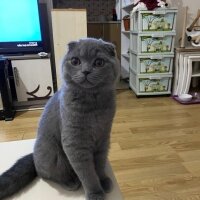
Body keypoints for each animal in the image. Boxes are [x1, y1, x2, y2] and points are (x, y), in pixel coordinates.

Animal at [0, 38, 119, 200]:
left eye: (99, 62)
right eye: (75, 61)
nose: (86, 71)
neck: (93, 104)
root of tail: (33, 155)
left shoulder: (103, 138)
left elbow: (99, 165)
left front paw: (104, 181)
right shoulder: (75, 143)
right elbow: (88, 173)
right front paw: (96, 193)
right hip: (53, 155)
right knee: (47, 174)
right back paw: (71, 182)